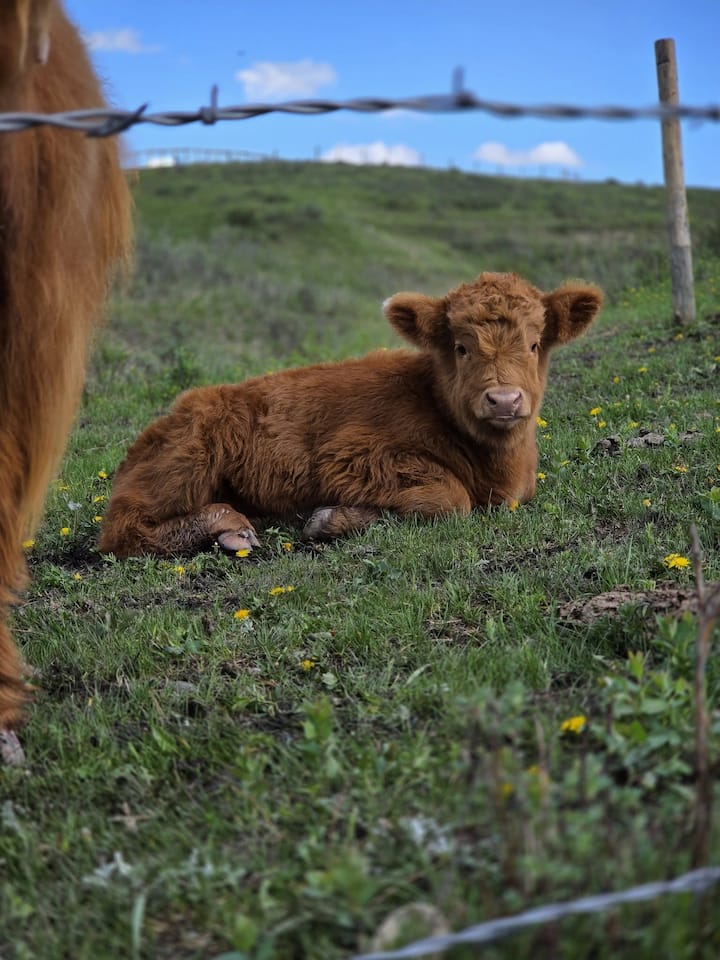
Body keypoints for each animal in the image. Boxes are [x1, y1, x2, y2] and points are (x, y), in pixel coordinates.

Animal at [99, 272, 602, 561]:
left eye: (534, 344)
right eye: (461, 347)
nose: (503, 400)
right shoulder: (350, 454)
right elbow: (448, 496)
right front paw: (329, 519)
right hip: (185, 462)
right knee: (122, 530)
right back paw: (229, 526)